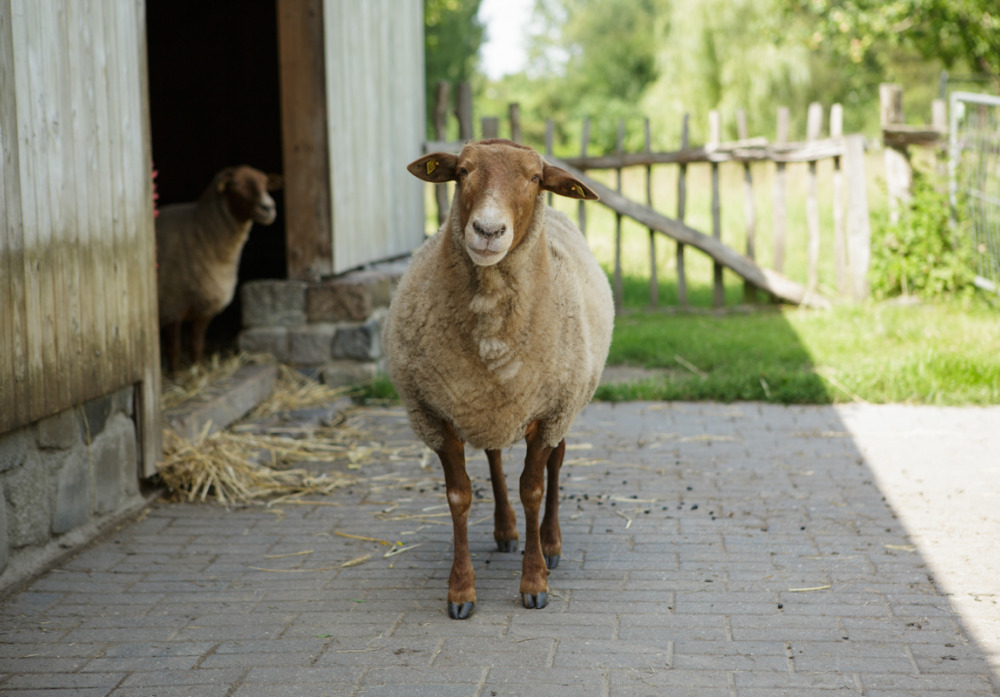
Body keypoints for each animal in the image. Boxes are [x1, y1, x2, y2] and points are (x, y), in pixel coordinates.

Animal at [156, 164, 282, 370]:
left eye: (265, 182)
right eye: (236, 184)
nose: (268, 207)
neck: (201, 231)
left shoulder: (204, 308)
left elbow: (196, 345)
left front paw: (196, 370)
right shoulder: (171, 307)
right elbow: (174, 350)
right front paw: (175, 375)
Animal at [384, 139, 612, 616]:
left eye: (535, 178)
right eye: (463, 171)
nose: (488, 231)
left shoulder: (549, 412)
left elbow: (533, 490)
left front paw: (535, 582)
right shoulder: (434, 414)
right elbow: (459, 496)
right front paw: (461, 591)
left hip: (565, 404)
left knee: (557, 465)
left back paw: (550, 542)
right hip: (487, 406)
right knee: (492, 456)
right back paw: (506, 531)